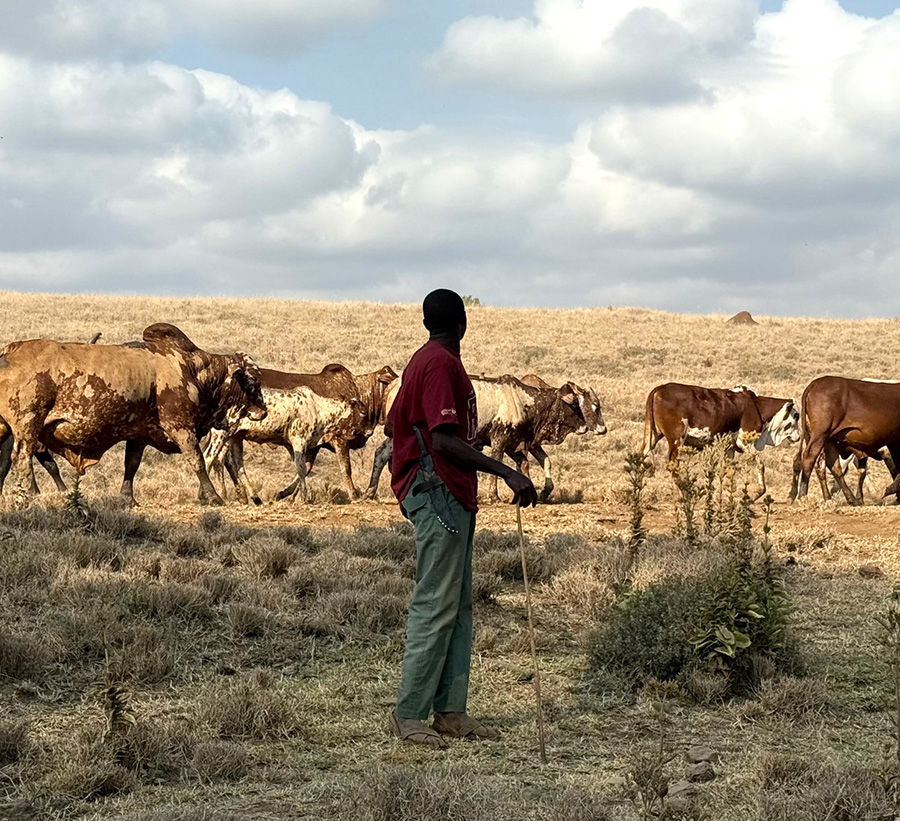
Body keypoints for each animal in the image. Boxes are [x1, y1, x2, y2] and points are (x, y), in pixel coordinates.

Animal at [0, 323, 266, 506]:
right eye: (253, 381)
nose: (263, 412)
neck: (192, 369)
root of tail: (9, 352)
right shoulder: (181, 427)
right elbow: (197, 460)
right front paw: (212, 496)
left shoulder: (138, 435)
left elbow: (132, 464)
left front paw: (127, 498)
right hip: (27, 425)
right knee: (21, 457)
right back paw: (24, 497)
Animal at [365, 372, 603, 502]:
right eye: (577, 405)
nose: (596, 428)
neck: (522, 399)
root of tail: (394, 384)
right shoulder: (499, 440)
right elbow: (497, 463)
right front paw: (494, 495)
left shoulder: (515, 445)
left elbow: (529, 464)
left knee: (381, 453)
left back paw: (370, 492)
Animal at [641, 383, 800, 496]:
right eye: (796, 416)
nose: (799, 437)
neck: (755, 406)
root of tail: (659, 389)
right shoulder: (744, 441)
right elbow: (760, 465)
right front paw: (758, 492)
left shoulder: (729, 447)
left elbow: (729, 471)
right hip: (676, 439)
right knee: (672, 466)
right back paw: (685, 492)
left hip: (653, 434)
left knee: (643, 457)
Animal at [793, 376, 900, 505]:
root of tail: (815, 383)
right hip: (820, 434)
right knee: (810, 458)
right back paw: (803, 496)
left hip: (828, 439)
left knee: (831, 466)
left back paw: (845, 498)